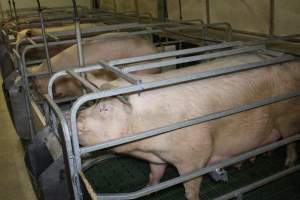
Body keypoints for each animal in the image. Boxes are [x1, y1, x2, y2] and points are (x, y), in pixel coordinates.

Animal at [77, 53, 300, 200]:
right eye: (93, 103)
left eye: (105, 108)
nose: (77, 118)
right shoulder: (157, 158)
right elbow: (155, 173)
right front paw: (149, 188)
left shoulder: (196, 154)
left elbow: (190, 185)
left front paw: (192, 197)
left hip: (288, 118)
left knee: (291, 142)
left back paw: (287, 165)